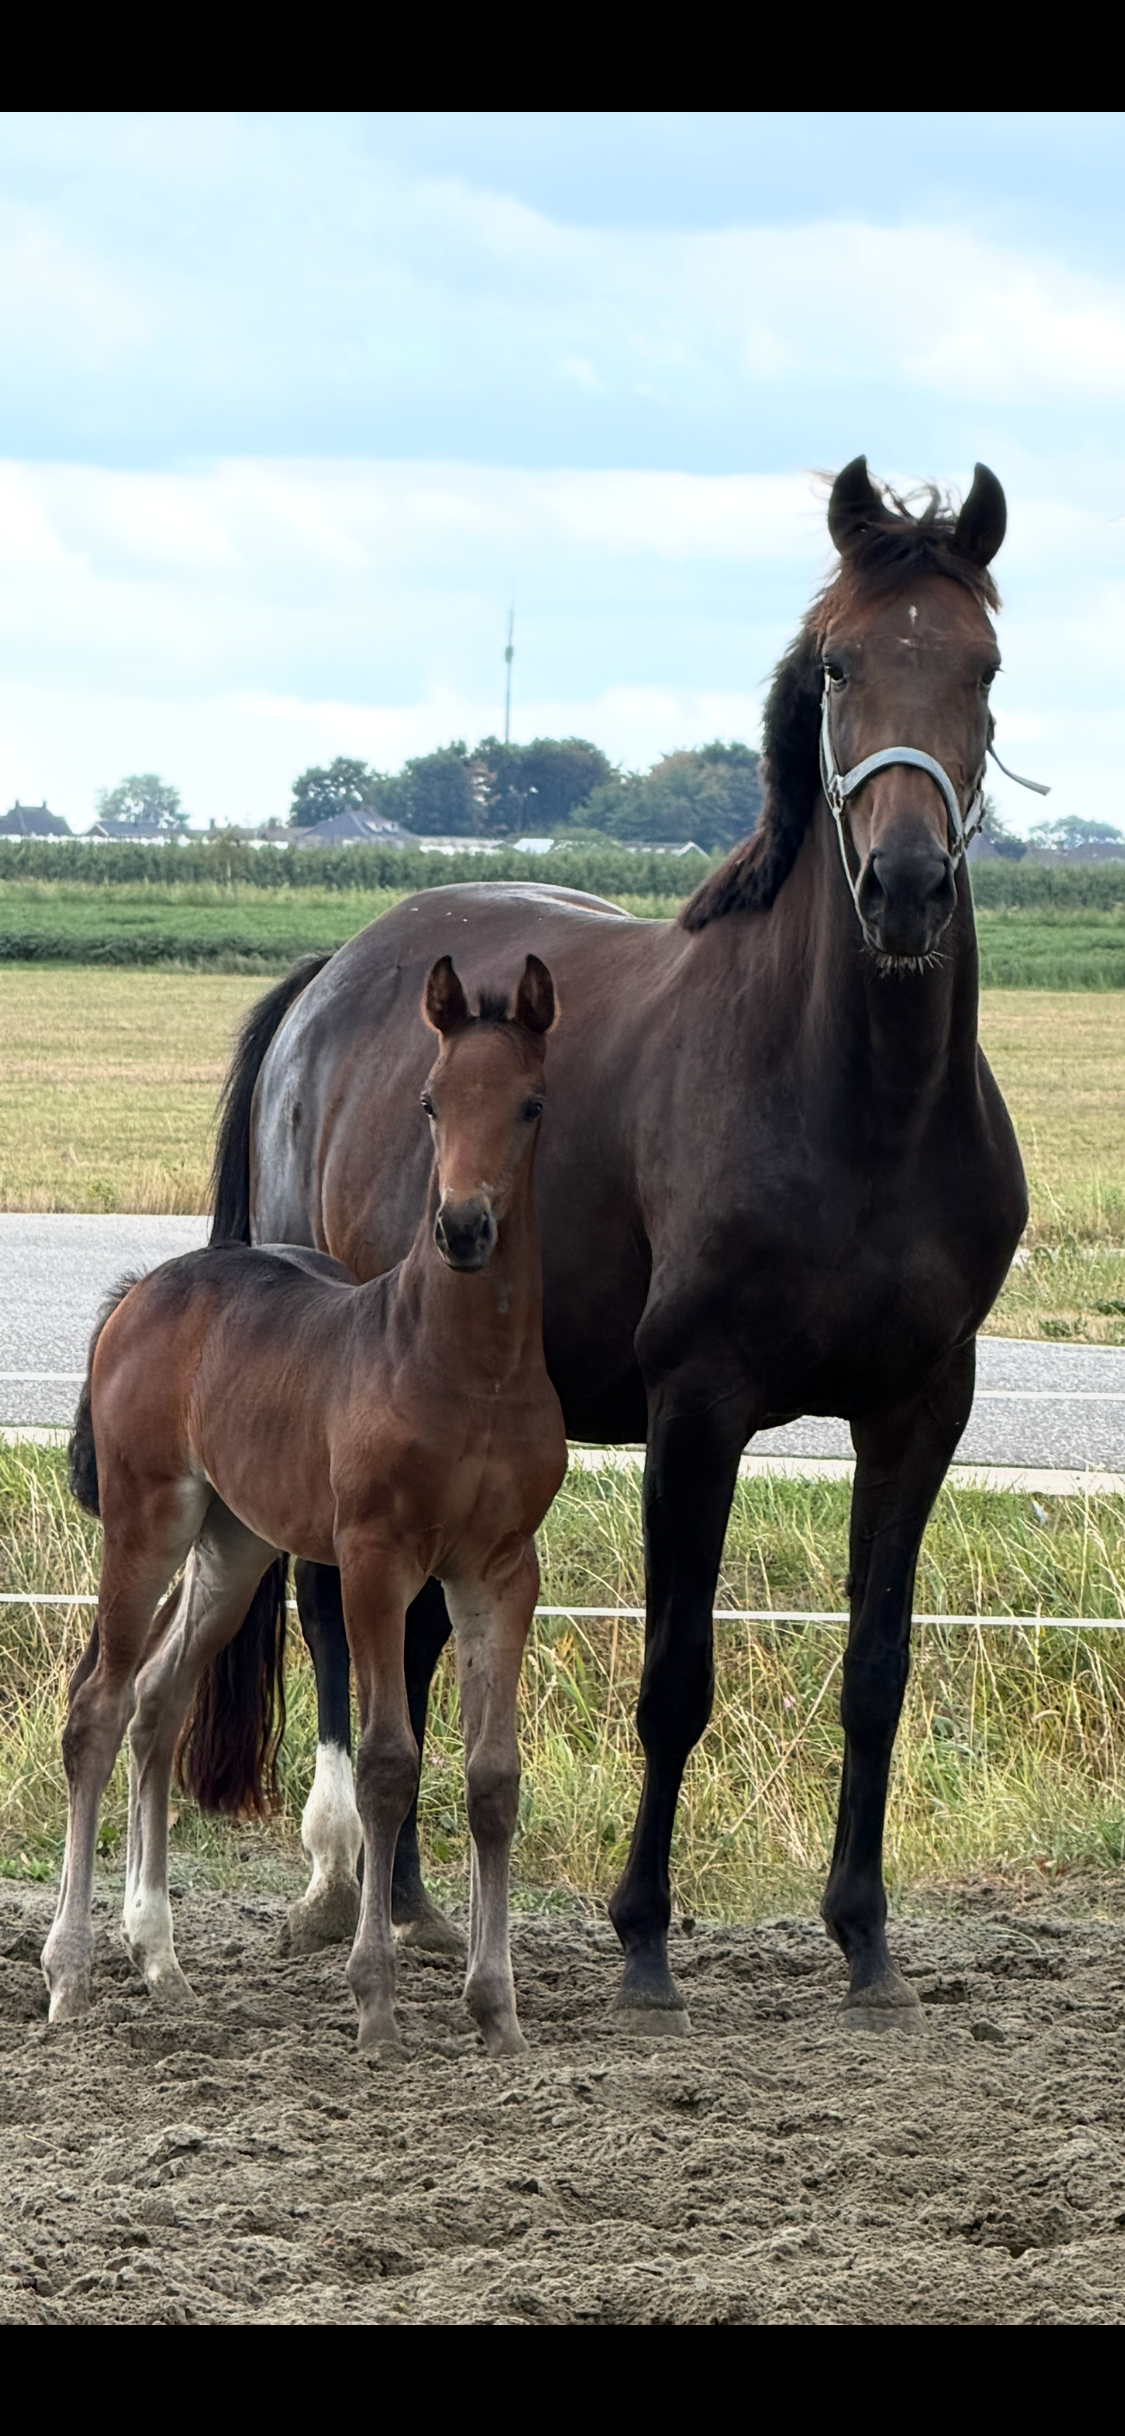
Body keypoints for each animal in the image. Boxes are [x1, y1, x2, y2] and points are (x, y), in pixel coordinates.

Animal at [44, 955, 566, 2058]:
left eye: (531, 1104)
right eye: (430, 1100)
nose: (463, 1228)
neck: (467, 1367)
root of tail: (142, 1290)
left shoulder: (501, 1570)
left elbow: (493, 1777)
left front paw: (496, 2010)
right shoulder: (375, 1561)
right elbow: (387, 1764)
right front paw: (374, 2003)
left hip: (234, 1546)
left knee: (159, 1702)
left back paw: (161, 1964)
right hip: (148, 1520)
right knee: (97, 1706)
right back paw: (69, 1975)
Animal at [203, 457, 1029, 2035]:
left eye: (983, 668)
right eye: (842, 663)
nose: (903, 886)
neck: (860, 1103)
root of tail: (331, 979)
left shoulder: (922, 1410)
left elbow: (878, 1670)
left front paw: (866, 1940)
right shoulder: (695, 1409)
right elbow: (675, 1675)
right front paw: (645, 1942)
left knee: (415, 1634)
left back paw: (411, 1900)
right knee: (342, 1619)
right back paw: (346, 1881)